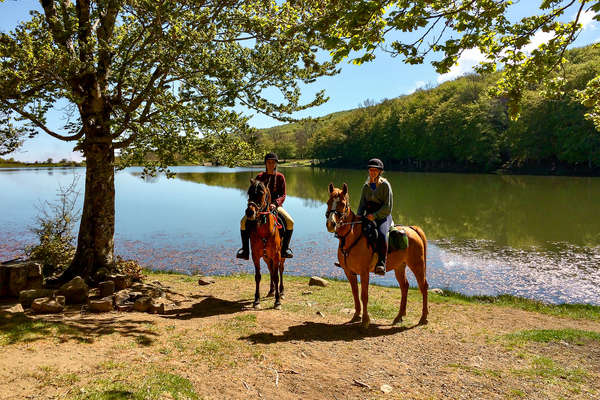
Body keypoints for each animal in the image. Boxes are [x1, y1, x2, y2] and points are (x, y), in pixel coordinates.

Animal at [246, 179, 288, 310]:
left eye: (262, 193)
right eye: (249, 192)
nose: (250, 212)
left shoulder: (276, 255)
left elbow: (276, 276)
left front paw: (277, 302)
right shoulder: (256, 256)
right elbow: (258, 276)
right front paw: (256, 301)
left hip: (281, 257)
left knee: (280, 270)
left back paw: (281, 292)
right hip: (266, 258)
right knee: (271, 270)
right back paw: (271, 290)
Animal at [326, 184, 428, 328]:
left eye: (342, 204)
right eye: (328, 202)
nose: (331, 224)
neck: (352, 237)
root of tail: (413, 229)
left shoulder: (364, 272)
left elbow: (364, 295)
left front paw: (365, 320)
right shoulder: (349, 272)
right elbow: (355, 293)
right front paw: (356, 315)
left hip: (417, 265)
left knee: (423, 287)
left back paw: (423, 318)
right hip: (399, 267)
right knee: (405, 286)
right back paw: (399, 316)